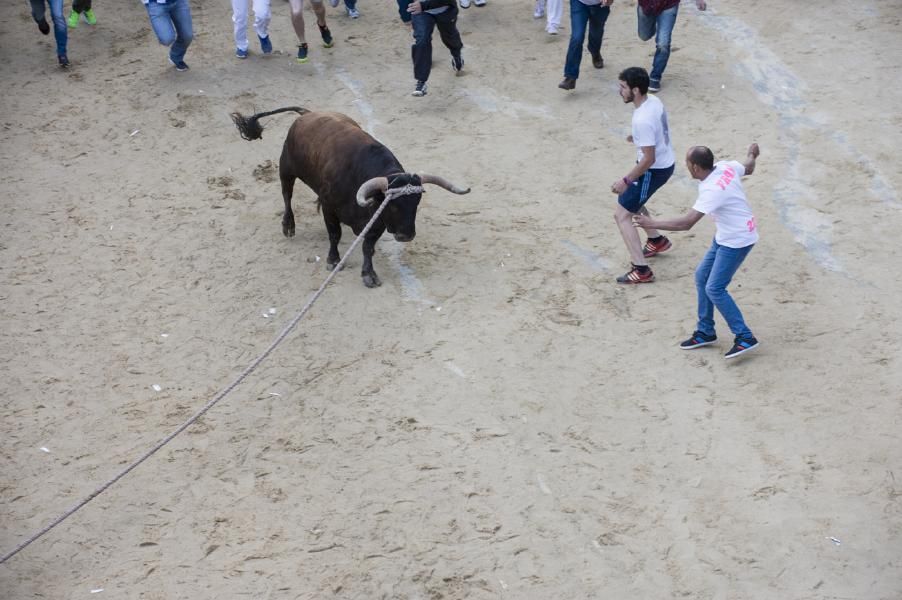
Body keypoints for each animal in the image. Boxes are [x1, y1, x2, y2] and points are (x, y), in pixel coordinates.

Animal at [231, 108, 474, 288]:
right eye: (393, 205)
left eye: (417, 203)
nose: (406, 235)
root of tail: (308, 113)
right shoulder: (330, 209)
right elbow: (334, 235)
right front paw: (333, 260)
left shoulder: (376, 222)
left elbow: (368, 247)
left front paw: (368, 274)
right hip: (286, 169)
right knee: (286, 195)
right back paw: (288, 225)